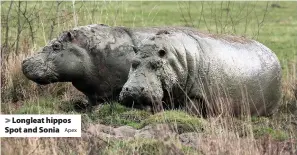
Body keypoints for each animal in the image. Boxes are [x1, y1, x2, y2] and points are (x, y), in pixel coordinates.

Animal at [119, 30, 280, 116]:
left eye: (157, 64)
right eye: (133, 62)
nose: (133, 90)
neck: (177, 58)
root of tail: (274, 54)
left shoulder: (198, 96)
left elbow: (190, 109)